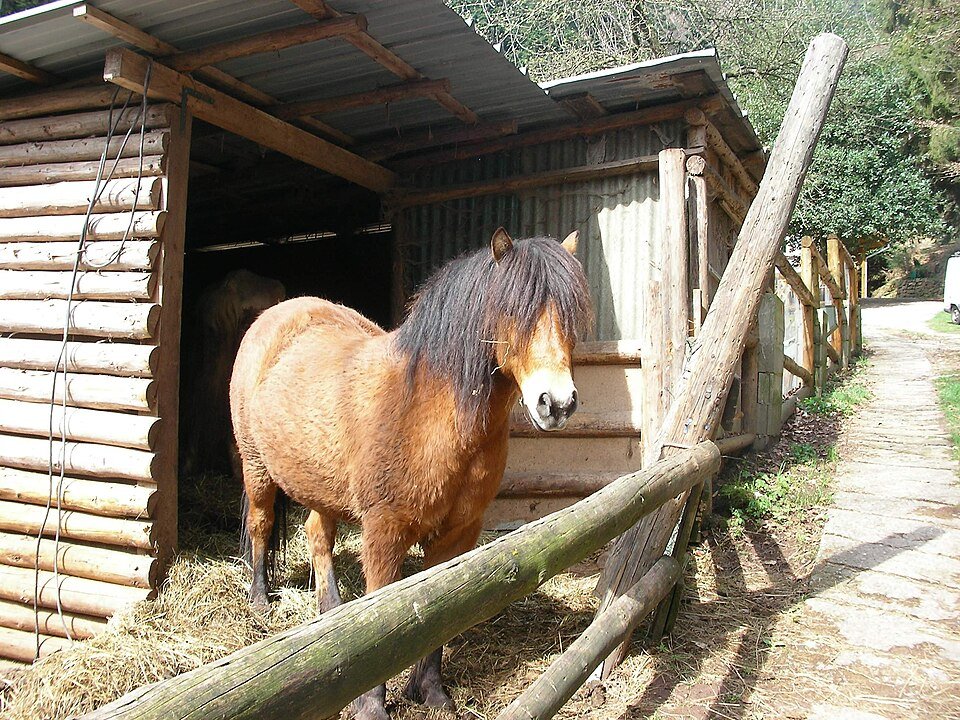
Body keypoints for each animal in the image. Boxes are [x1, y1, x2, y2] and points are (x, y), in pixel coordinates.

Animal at [229, 228, 591, 720]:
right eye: (514, 312)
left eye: (570, 318)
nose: (557, 403)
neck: (425, 410)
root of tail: (273, 317)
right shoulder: (385, 532)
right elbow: (377, 617)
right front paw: (371, 706)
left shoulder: (457, 533)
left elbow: (441, 612)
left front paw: (432, 691)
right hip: (257, 469)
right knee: (261, 525)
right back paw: (260, 601)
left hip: (321, 487)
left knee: (318, 536)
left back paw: (330, 615)